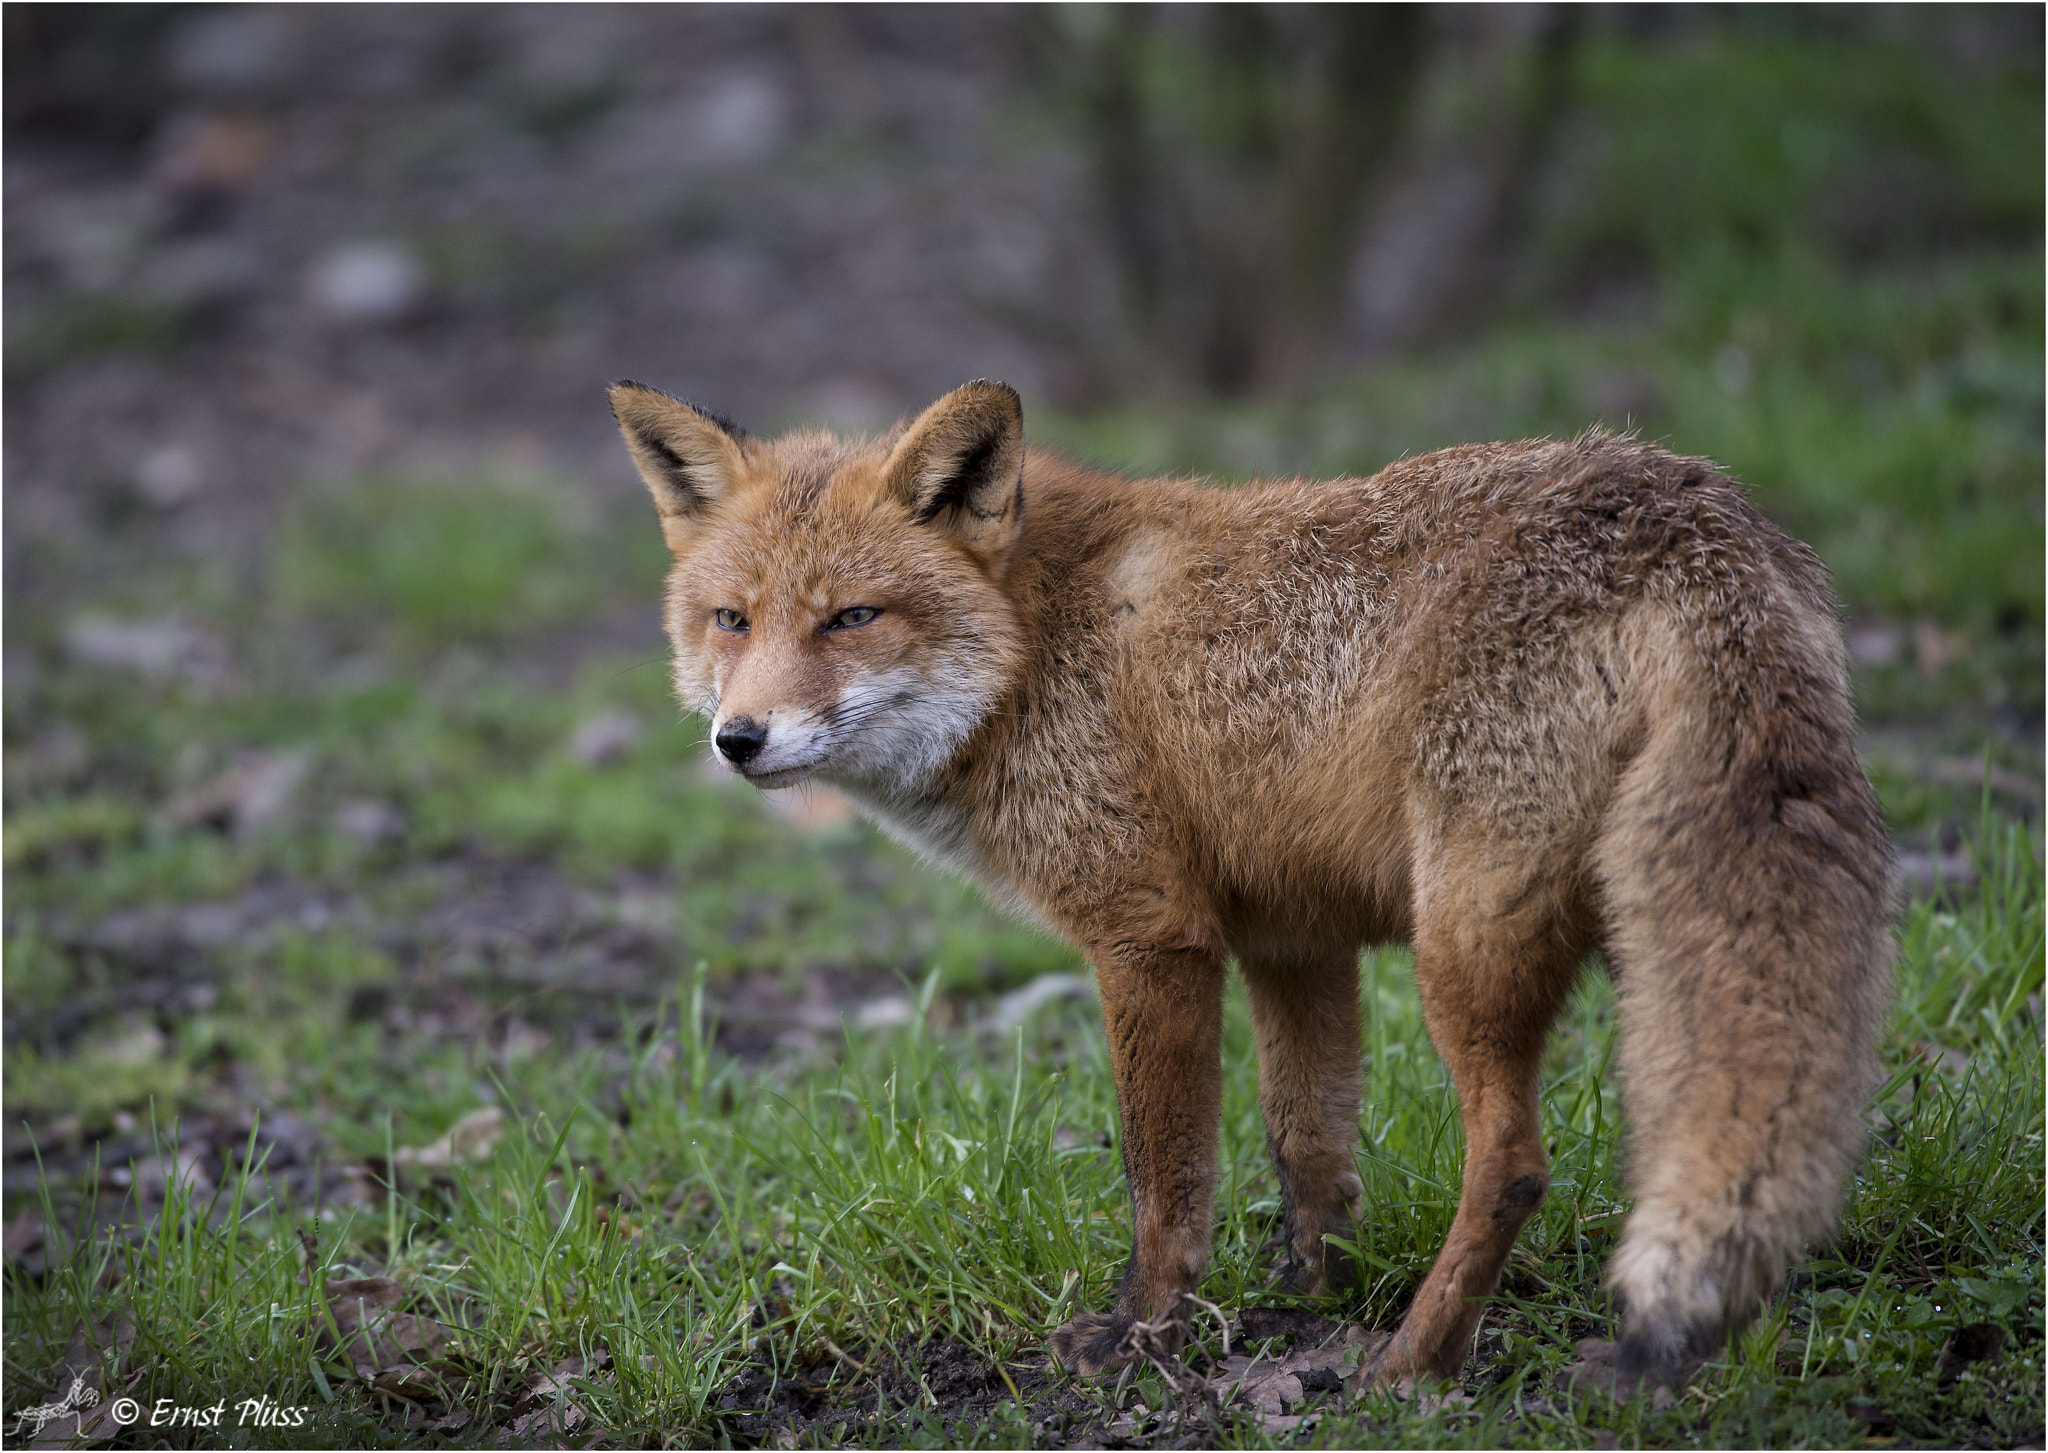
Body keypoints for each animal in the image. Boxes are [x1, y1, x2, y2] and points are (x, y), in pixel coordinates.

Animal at [608, 376, 1896, 1392]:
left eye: (851, 617)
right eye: (730, 619)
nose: (738, 740)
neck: (1036, 646)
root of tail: (1691, 505)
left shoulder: (1151, 934)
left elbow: (1165, 1176)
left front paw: (1140, 1334)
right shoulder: (1291, 939)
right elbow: (1307, 1146)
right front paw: (1308, 1295)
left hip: (1467, 948)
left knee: (1514, 1167)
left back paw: (1412, 1366)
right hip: (1640, 940)